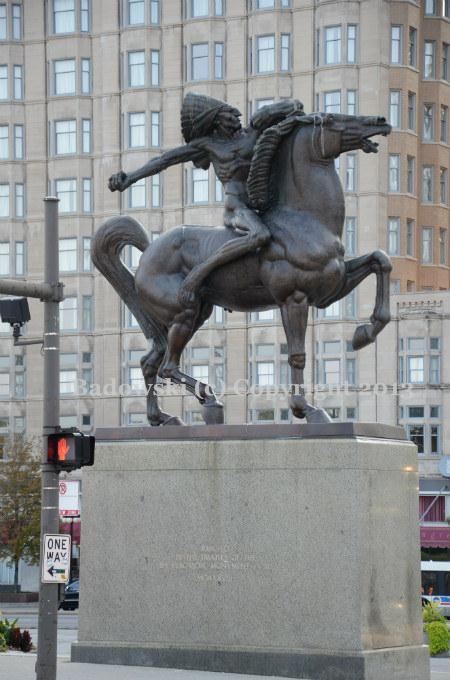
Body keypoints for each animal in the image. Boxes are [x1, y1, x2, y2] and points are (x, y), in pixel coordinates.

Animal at [93, 115, 392, 428]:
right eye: (333, 119)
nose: (382, 122)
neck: (304, 220)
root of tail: (149, 251)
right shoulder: (294, 299)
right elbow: (297, 355)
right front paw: (307, 409)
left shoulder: (329, 292)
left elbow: (380, 261)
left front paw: (364, 333)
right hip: (183, 314)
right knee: (167, 366)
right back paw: (209, 400)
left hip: (191, 315)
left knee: (149, 362)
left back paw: (162, 417)